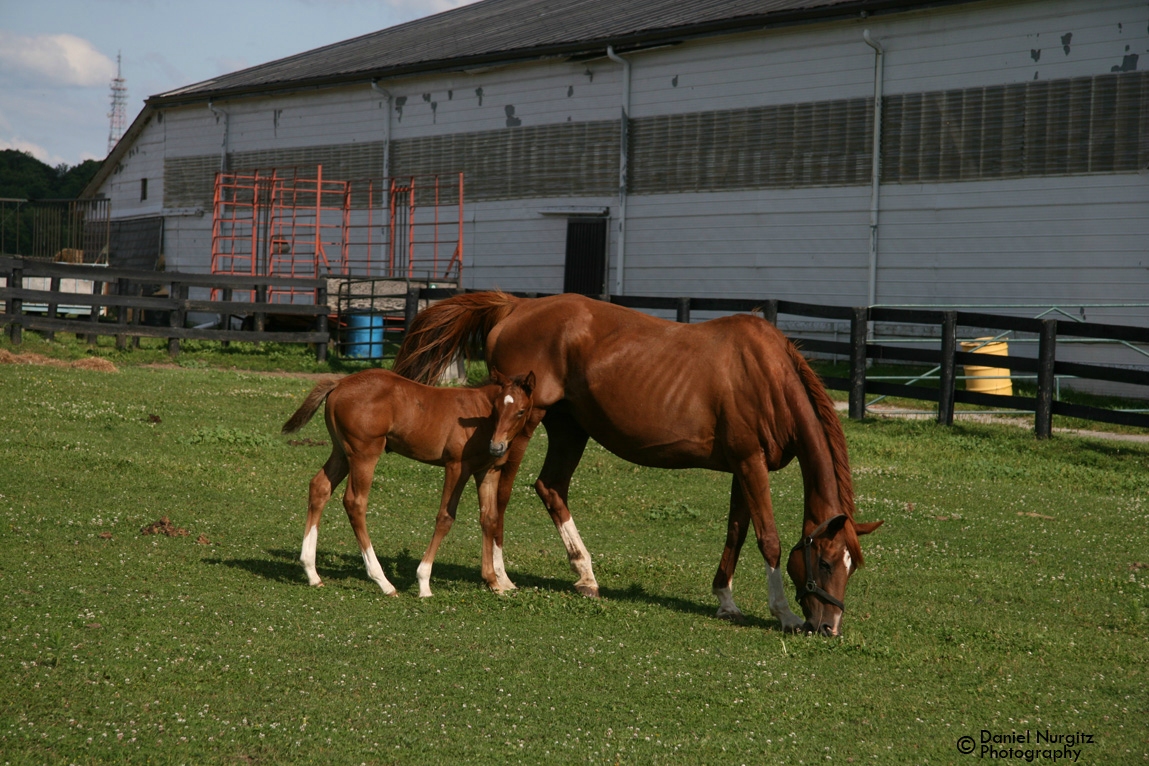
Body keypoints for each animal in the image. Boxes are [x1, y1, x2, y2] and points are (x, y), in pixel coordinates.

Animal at [287, 367, 537, 597]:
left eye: (520, 411)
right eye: (497, 409)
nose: (496, 446)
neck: (479, 417)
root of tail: (340, 383)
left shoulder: (488, 471)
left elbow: (490, 519)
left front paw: (493, 581)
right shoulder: (457, 466)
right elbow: (445, 517)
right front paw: (424, 582)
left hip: (341, 452)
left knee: (319, 487)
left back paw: (312, 572)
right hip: (364, 453)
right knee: (354, 503)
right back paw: (383, 581)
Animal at [390, 293, 882, 633]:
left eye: (851, 566)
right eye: (825, 562)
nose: (829, 628)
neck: (765, 375)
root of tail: (516, 306)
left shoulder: (743, 467)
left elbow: (736, 532)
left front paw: (725, 599)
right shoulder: (750, 463)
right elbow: (769, 540)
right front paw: (783, 614)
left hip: (570, 429)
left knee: (550, 488)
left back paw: (585, 575)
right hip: (523, 424)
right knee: (500, 491)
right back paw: (500, 577)